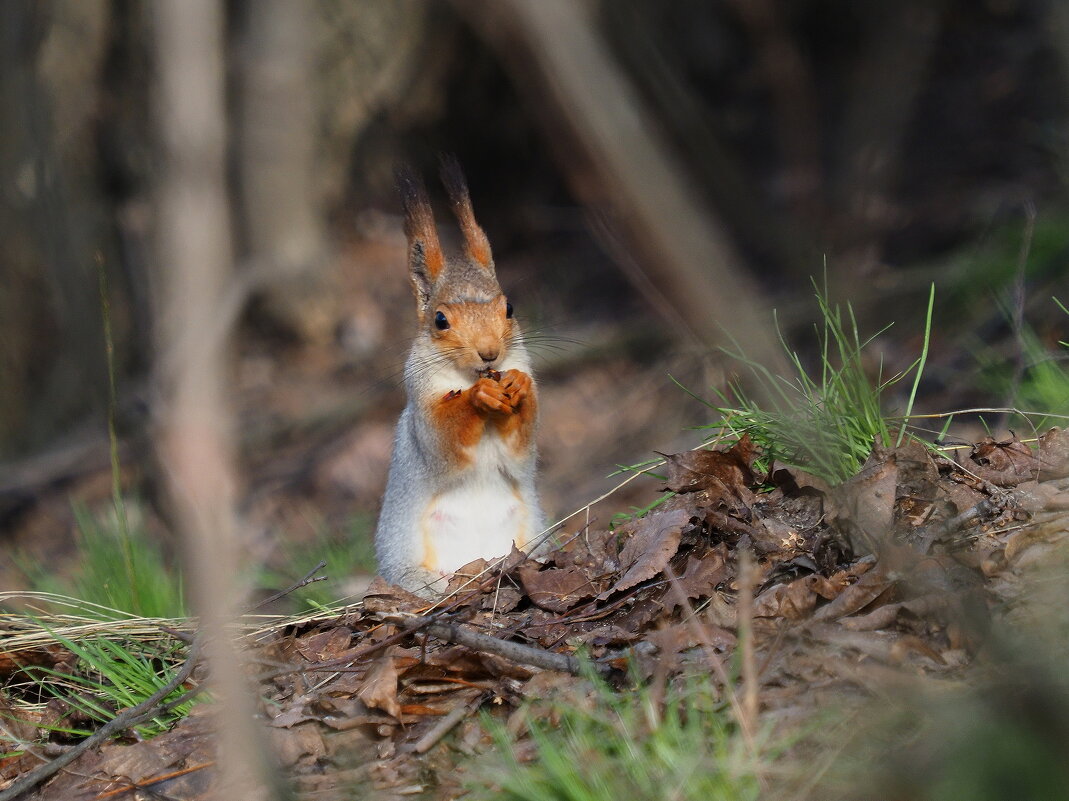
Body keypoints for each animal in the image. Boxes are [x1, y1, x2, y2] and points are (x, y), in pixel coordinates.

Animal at [374, 158, 543, 594]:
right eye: (440, 320)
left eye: (509, 308)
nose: (490, 352)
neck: (470, 375)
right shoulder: (423, 414)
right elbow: (445, 438)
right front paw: (477, 398)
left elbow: (521, 448)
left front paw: (517, 386)